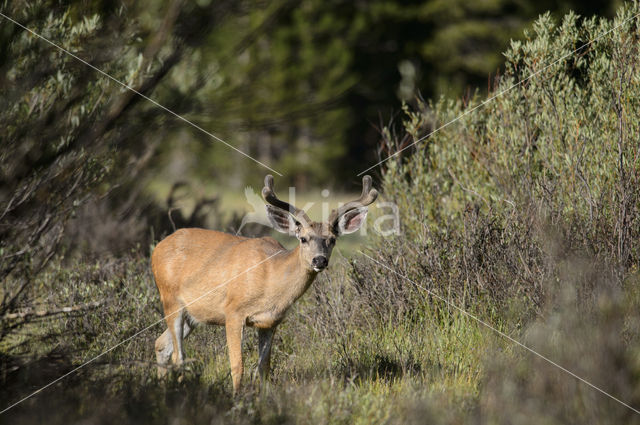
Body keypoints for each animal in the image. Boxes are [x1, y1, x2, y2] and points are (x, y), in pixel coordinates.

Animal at [152, 174, 378, 392]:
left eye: (332, 239)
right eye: (303, 238)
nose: (319, 260)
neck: (271, 279)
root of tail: (157, 248)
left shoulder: (271, 322)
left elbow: (263, 367)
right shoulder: (233, 311)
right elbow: (237, 365)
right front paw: (236, 398)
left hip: (193, 315)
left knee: (161, 344)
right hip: (171, 300)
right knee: (178, 356)